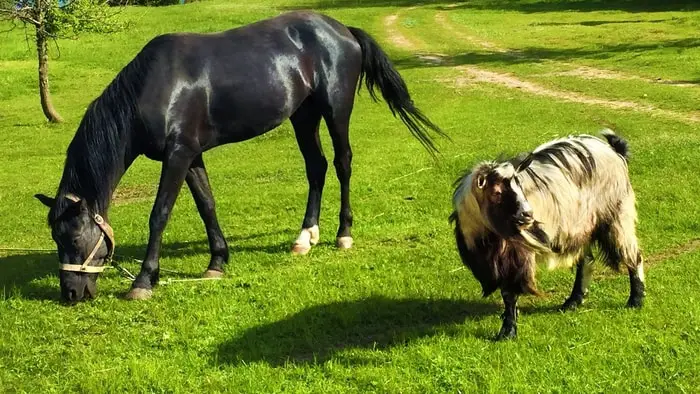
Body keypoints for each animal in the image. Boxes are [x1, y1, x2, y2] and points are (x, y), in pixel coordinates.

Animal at [34, 12, 442, 302]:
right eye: (56, 237)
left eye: (73, 238)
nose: (70, 293)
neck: (155, 88)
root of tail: (341, 29)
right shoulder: (192, 155)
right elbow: (207, 205)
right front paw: (217, 262)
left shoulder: (178, 155)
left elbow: (159, 214)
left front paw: (144, 280)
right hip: (303, 116)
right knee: (316, 167)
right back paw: (304, 238)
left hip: (336, 110)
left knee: (342, 163)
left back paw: (343, 235)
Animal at [452, 131, 644, 340]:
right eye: (496, 192)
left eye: (521, 187)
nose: (528, 214)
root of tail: (615, 152)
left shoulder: (518, 255)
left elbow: (509, 293)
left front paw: (508, 331)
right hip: (581, 226)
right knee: (586, 261)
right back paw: (572, 302)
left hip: (618, 216)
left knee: (634, 255)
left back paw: (636, 300)